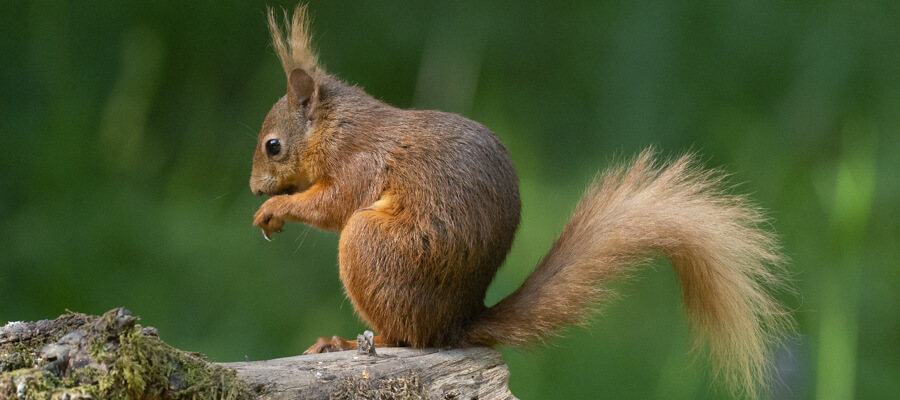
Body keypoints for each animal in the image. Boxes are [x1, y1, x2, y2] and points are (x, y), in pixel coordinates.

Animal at [250, 5, 792, 396]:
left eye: (273, 145)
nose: (255, 187)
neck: (339, 127)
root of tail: (457, 323)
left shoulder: (360, 164)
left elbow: (334, 205)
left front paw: (273, 210)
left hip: (371, 246)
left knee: (408, 339)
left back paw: (347, 341)